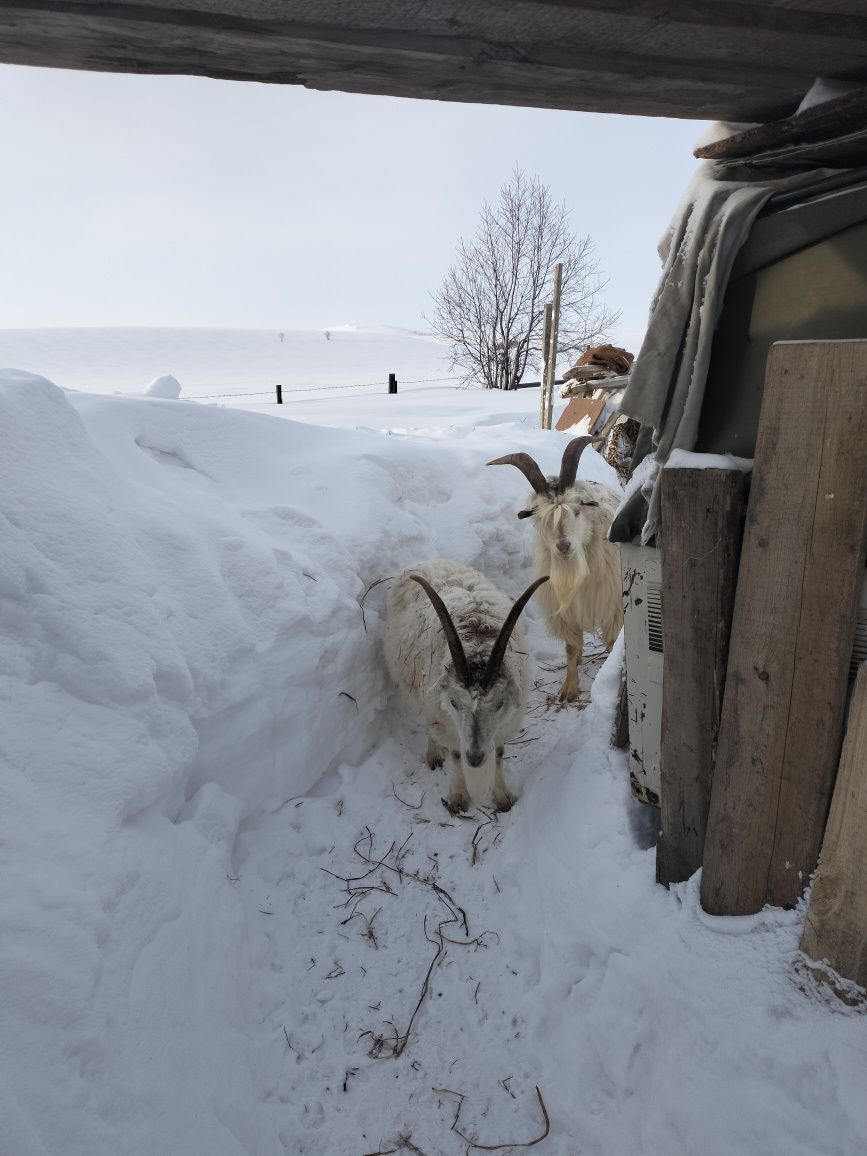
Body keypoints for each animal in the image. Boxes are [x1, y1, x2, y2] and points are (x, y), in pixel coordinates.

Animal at [386, 559, 550, 813]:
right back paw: (433, 754)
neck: (477, 643)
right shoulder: (446, 720)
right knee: (429, 723)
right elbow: (455, 753)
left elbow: (499, 753)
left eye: (499, 703)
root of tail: (429, 561)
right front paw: (459, 796)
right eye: (454, 702)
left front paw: (502, 797)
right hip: (419, 692)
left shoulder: (503, 724)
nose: (474, 758)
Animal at [490, 434, 624, 698]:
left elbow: (612, 643)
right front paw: (569, 688)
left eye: (577, 510)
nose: (563, 546)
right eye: (541, 518)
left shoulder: (611, 606)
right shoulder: (566, 612)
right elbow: (571, 647)